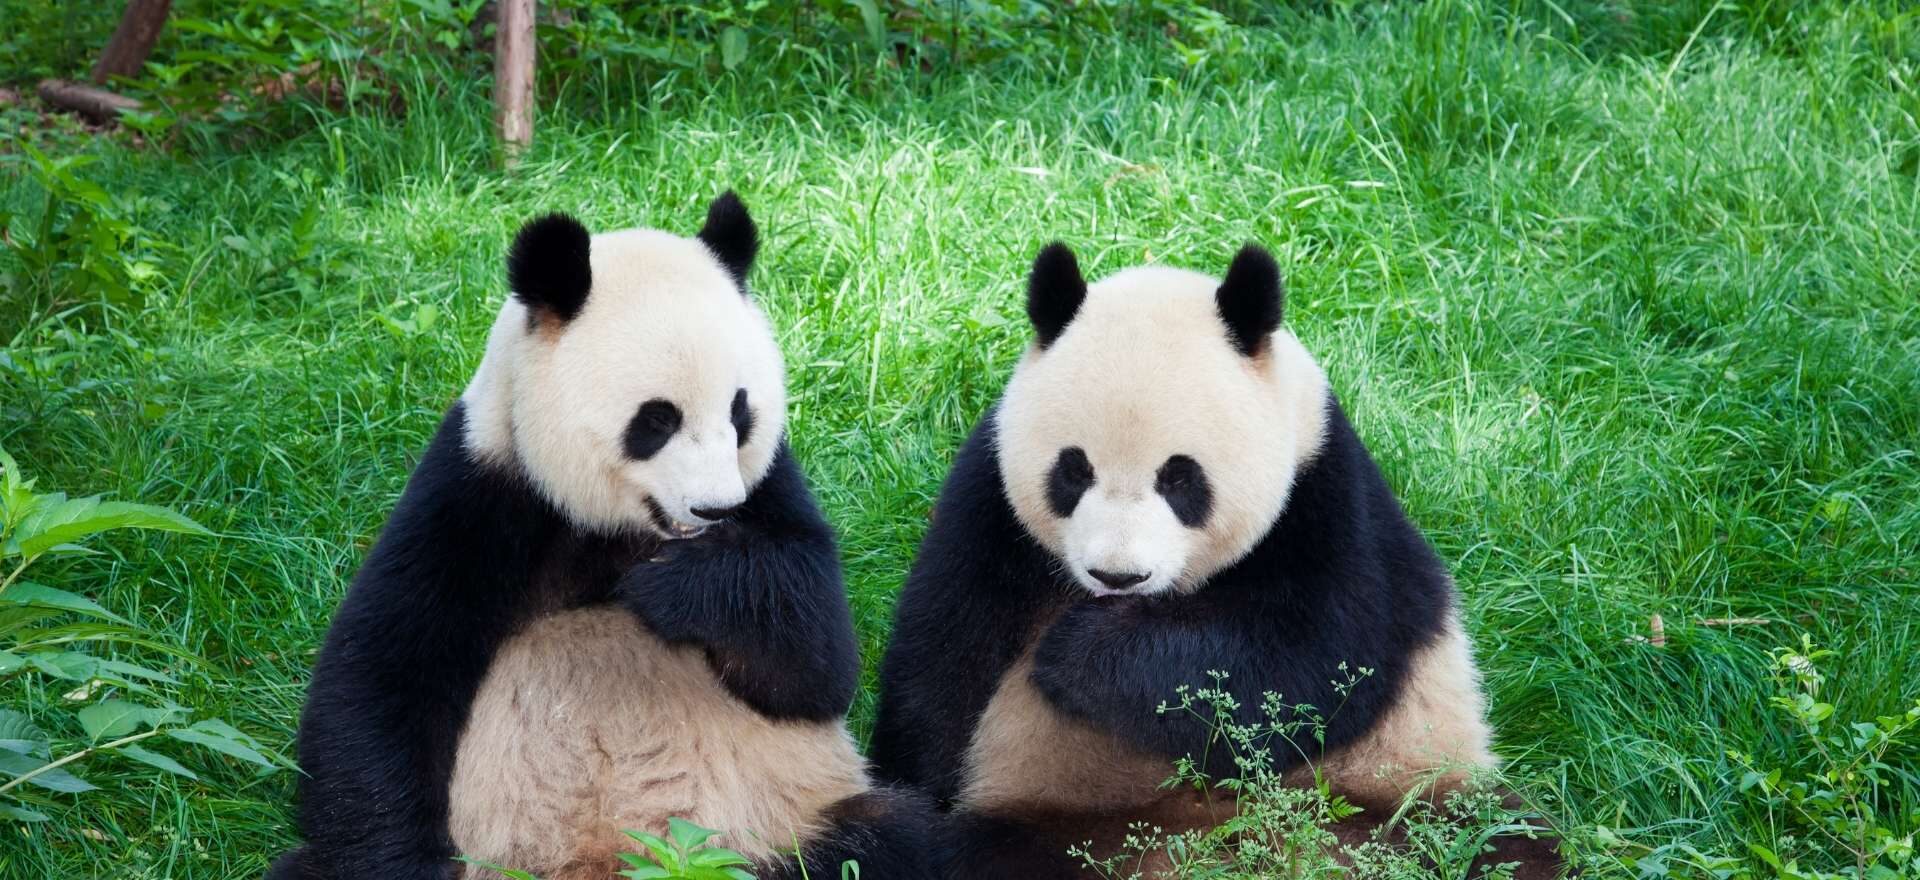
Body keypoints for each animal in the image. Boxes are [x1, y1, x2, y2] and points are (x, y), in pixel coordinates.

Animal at [267, 194, 934, 880]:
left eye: (739, 411)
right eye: (657, 420)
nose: (716, 509)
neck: (619, 529)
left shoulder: (771, 487)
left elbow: (817, 665)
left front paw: (676, 588)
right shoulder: (481, 486)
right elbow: (381, 675)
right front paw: (402, 861)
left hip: (785, 825)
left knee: (893, 838)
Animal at [869, 243, 1566, 878]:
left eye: (1181, 478)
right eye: (1074, 470)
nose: (1118, 576)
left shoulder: (1327, 497)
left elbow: (1307, 665)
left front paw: (1076, 653)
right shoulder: (989, 502)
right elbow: (944, 656)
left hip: (1399, 792)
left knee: (1499, 845)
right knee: (970, 857)